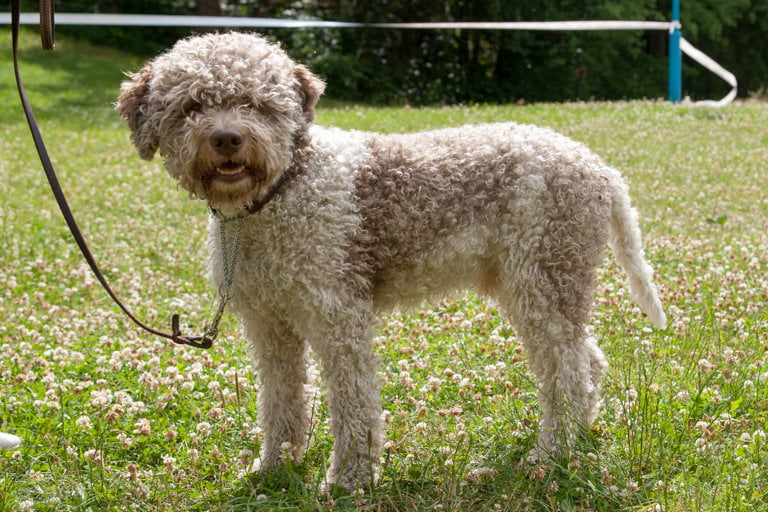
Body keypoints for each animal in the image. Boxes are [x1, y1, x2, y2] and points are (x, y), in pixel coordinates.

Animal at [118, 32, 664, 492]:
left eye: (257, 104)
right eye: (192, 106)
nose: (228, 139)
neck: (279, 191)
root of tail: (601, 170)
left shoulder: (338, 317)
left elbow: (355, 405)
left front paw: (349, 480)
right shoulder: (269, 325)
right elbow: (281, 403)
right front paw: (276, 466)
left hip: (542, 282)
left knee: (567, 370)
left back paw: (551, 453)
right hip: (533, 286)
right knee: (586, 361)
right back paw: (577, 438)